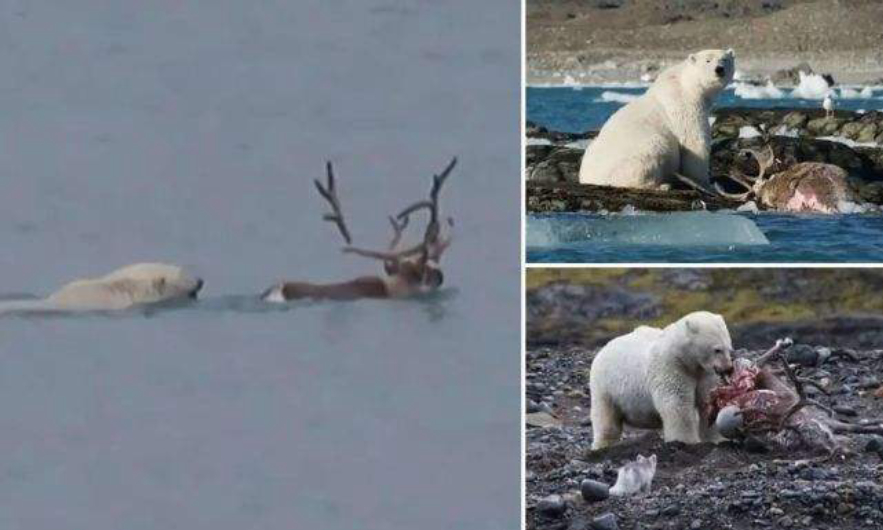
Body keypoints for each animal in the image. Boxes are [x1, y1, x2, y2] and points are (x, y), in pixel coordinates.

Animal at [580, 48, 740, 191]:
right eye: (708, 60)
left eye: (724, 59)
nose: (719, 69)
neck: (686, 84)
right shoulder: (684, 105)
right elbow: (693, 141)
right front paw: (706, 183)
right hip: (637, 153)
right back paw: (661, 185)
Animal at [592, 312, 736, 448]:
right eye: (717, 349)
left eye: (729, 348)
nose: (728, 368)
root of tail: (605, 347)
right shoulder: (671, 367)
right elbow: (677, 402)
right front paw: (685, 441)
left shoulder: (705, 374)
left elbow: (708, 400)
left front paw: (717, 439)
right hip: (606, 386)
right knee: (606, 419)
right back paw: (603, 445)